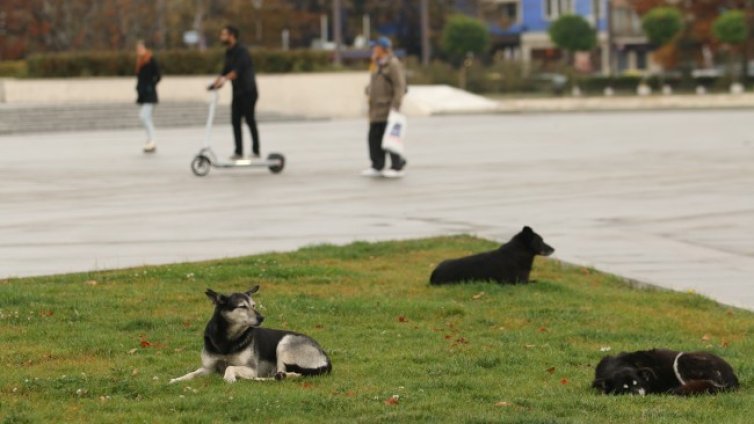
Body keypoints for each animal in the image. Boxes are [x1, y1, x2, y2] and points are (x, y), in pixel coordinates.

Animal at [169, 286, 330, 382]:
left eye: (253, 306)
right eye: (242, 307)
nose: (262, 318)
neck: (227, 340)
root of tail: (325, 357)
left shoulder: (250, 368)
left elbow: (230, 367)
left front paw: (229, 377)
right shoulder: (208, 368)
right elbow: (192, 373)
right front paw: (177, 380)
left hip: (284, 343)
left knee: (291, 374)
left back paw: (282, 376)